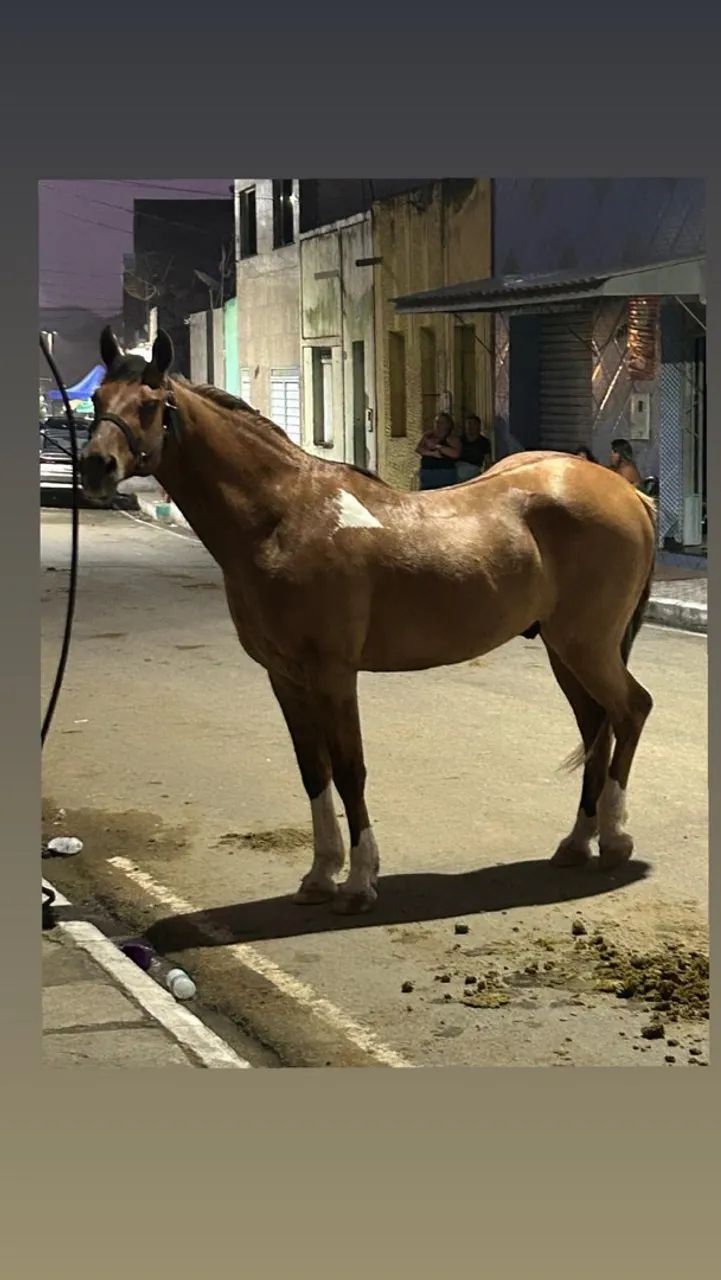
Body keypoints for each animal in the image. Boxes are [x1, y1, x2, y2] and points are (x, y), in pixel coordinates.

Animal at [80, 327, 656, 915]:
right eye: (97, 399)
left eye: (150, 404)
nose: (95, 466)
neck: (283, 518)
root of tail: (628, 492)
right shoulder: (284, 677)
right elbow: (313, 770)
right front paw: (320, 875)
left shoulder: (334, 674)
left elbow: (349, 769)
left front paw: (359, 881)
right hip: (565, 650)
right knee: (597, 724)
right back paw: (578, 841)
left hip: (587, 645)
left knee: (631, 710)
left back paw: (614, 837)